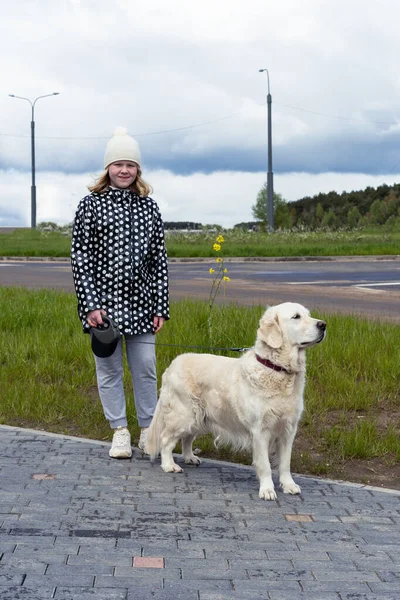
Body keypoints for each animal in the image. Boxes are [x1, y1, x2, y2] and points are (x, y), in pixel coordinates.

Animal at [145, 302, 326, 500]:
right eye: (296, 317)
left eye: (308, 314)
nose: (323, 325)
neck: (277, 369)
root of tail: (172, 365)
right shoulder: (260, 430)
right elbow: (265, 465)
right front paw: (267, 489)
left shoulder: (288, 429)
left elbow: (285, 463)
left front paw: (289, 485)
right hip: (184, 415)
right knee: (166, 439)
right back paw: (169, 465)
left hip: (198, 417)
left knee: (187, 438)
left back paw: (189, 457)